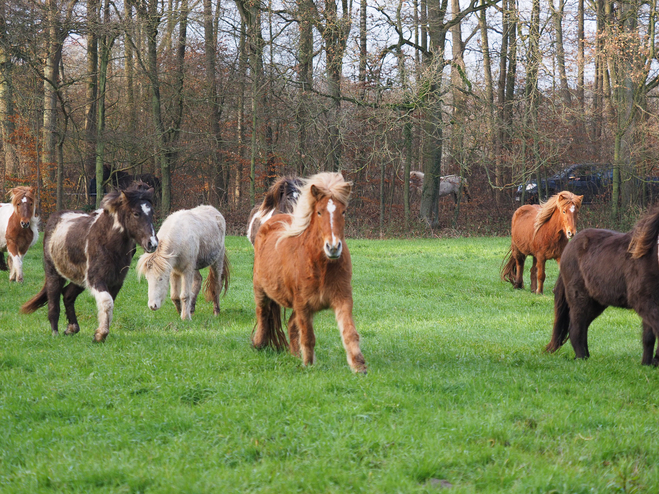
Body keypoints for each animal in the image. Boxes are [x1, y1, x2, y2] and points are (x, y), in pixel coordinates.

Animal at [21, 183, 158, 342]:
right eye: (136, 213)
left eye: (151, 213)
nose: (152, 244)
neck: (108, 242)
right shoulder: (96, 279)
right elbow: (107, 302)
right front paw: (100, 335)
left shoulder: (116, 282)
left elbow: (109, 304)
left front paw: (100, 334)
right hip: (54, 274)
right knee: (53, 301)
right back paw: (55, 333)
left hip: (79, 278)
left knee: (67, 295)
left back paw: (72, 328)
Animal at [251, 172, 368, 372]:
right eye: (319, 212)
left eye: (343, 211)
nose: (333, 247)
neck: (322, 266)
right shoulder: (303, 305)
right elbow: (308, 336)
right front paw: (309, 365)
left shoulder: (342, 299)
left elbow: (349, 332)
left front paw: (358, 367)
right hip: (261, 290)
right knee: (263, 314)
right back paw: (259, 344)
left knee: (291, 324)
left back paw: (294, 356)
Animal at [548, 205, 659, 366]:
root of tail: (568, 249)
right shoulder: (645, 301)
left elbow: (648, 337)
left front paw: (647, 364)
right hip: (579, 297)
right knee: (576, 328)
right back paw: (581, 358)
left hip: (596, 303)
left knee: (583, 326)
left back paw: (585, 356)